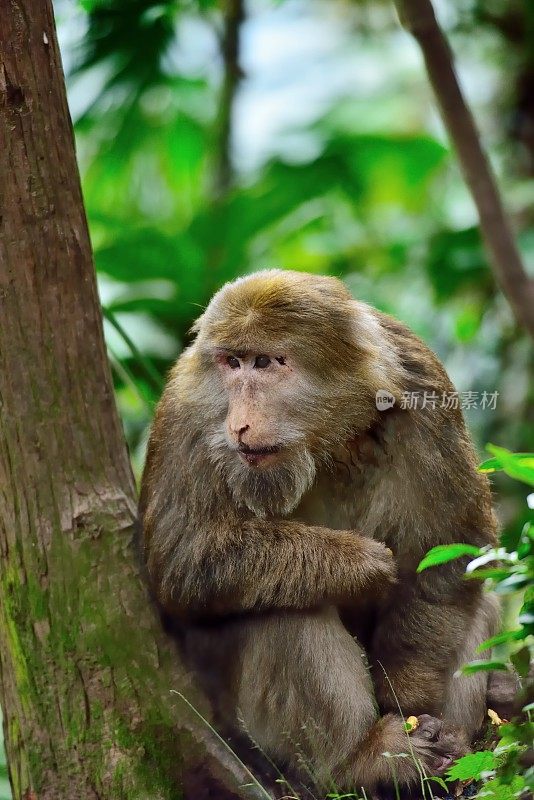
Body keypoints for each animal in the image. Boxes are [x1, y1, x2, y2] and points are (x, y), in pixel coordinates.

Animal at [139, 270, 502, 792]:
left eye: (265, 362)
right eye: (231, 362)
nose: (238, 422)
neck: (329, 441)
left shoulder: (421, 379)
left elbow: (452, 540)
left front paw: (410, 695)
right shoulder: (187, 411)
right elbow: (182, 561)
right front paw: (358, 563)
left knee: (477, 601)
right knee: (288, 609)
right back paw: (361, 761)